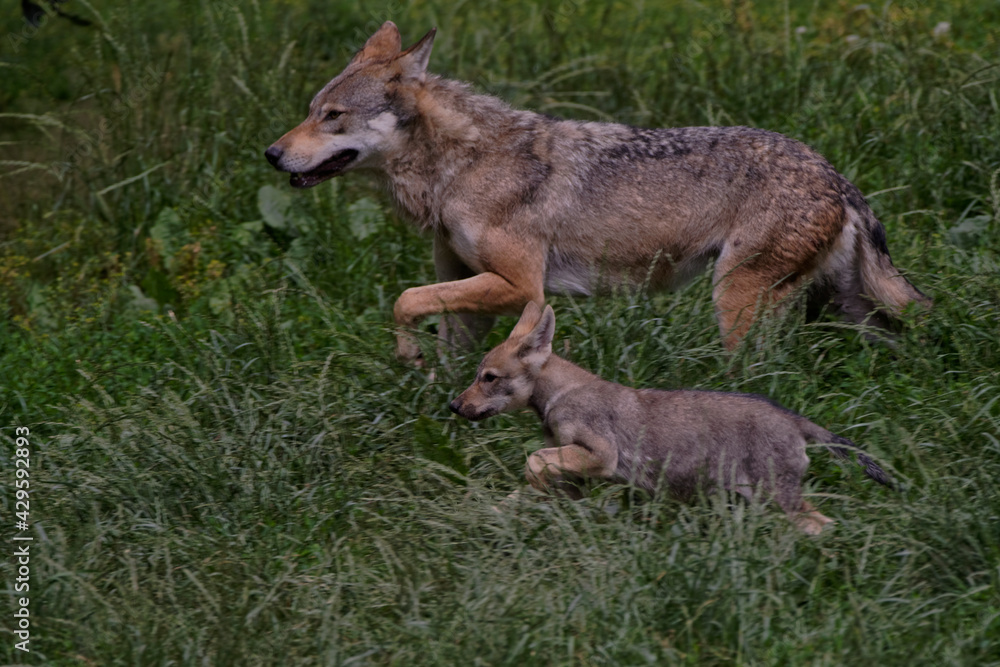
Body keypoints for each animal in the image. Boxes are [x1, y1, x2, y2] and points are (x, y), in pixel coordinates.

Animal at [264, 20, 928, 362]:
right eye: (309, 111)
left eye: (333, 117)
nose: (271, 153)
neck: (458, 169)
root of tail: (835, 175)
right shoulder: (468, 285)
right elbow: (441, 340)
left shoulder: (521, 288)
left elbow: (405, 299)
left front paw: (409, 357)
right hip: (848, 312)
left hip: (734, 300)